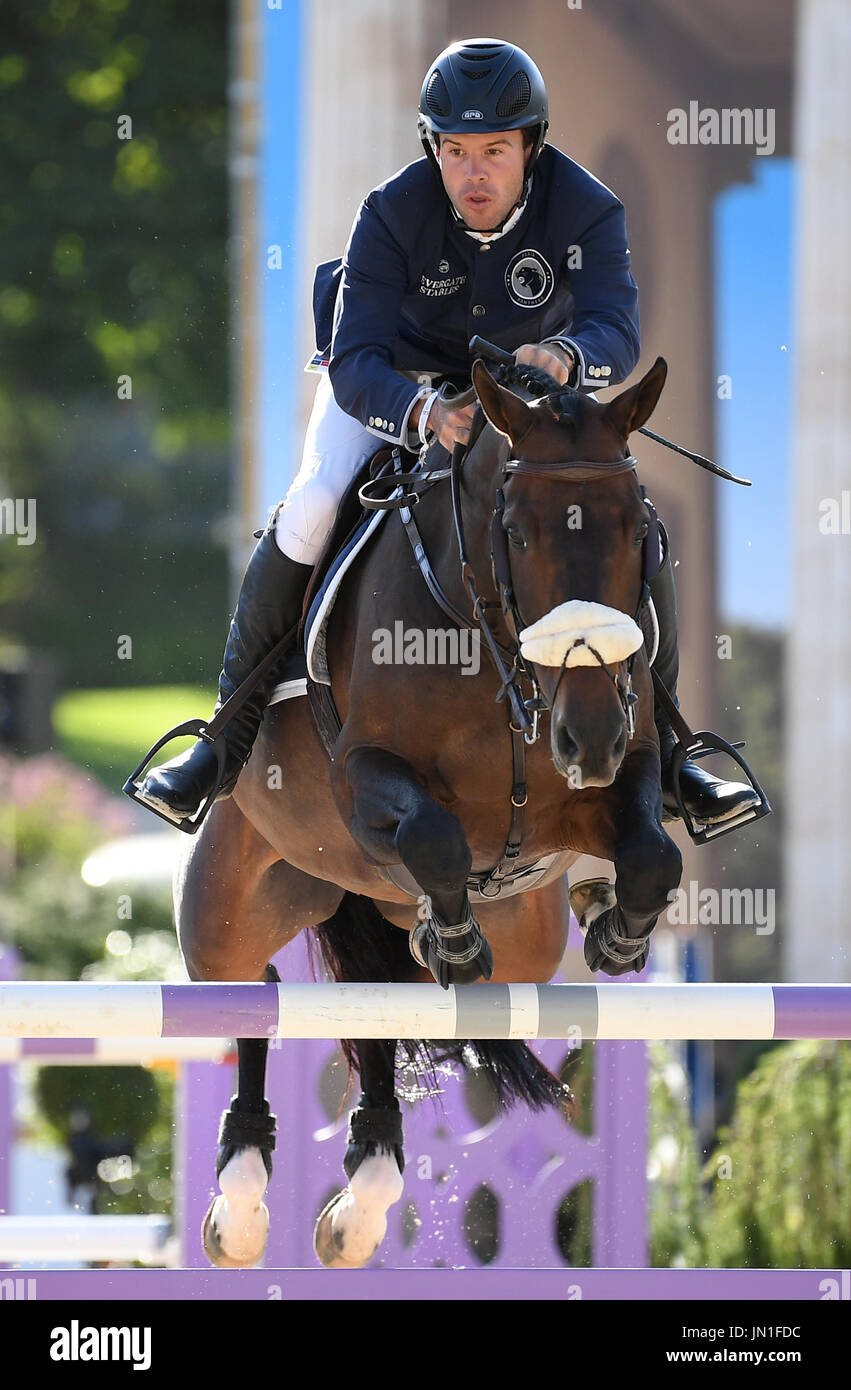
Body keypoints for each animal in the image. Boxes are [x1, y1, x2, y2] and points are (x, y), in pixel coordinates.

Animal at [175, 358, 681, 1273]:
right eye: (517, 533)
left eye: (638, 535)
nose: (586, 736)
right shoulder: (364, 778)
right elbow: (433, 839)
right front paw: (452, 934)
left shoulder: (624, 770)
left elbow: (654, 855)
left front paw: (617, 931)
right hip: (230, 902)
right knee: (249, 994)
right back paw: (242, 1203)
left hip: (525, 944)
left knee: (380, 998)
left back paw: (365, 1195)